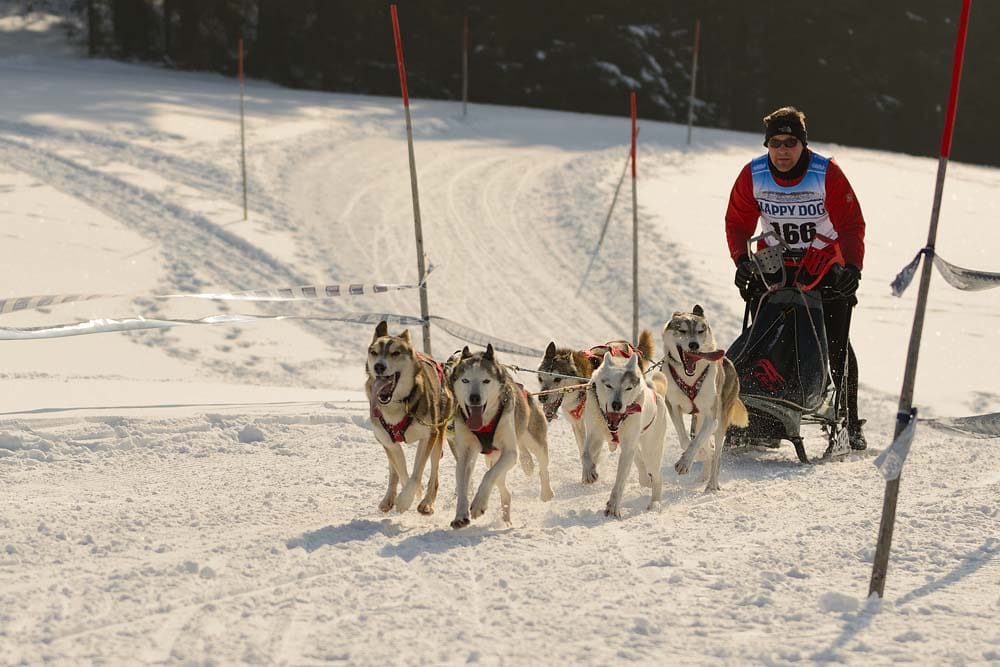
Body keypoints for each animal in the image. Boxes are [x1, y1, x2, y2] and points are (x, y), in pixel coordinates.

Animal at [366, 324, 456, 516]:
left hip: (438, 435)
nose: (378, 366)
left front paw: (406, 500)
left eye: (395, 353)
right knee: (393, 472)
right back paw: (389, 498)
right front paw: (409, 494)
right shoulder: (389, 443)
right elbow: (402, 473)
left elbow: (416, 473)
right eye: (374, 352)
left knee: (434, 473)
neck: (397, 403)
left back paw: (427, 503)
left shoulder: (428, 436)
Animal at [448, 348, 552, 528]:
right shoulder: (465, 455)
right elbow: (463, 485)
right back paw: (506, 515)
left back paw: (546, 492)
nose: (474, 398)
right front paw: (460, 516)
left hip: (534, 441)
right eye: (465, 380)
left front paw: (478, 504)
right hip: (493, 459)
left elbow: (488, 475)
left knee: (542, 467)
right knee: (503, 487)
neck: (484, 423)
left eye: (486, 381)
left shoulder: (510, 453)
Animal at [584, 352, 668, 520]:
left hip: (651, 450)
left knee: (657, 476)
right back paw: (645, 478)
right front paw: (589, 473)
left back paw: (654, 504)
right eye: (609, 385)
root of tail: (655, 394)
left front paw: (613, 507)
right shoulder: (594, 435)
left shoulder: (627, 448)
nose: (617, 404)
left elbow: (620, 482)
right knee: (639, 460)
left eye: (628, 388)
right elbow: (585, 454)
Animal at [660, 306, 748, 490]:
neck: (689, 379)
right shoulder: (673, 407)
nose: (694, 344)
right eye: (682, 330)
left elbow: (697, 441)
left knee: (717, 454)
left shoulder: (711, 417)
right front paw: (694, 455)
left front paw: (685, 462)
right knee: (710, 449)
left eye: (701, 331)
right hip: (699, 420)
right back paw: (703, 474)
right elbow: (685, 439)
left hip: (720, 422)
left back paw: (712, 484)